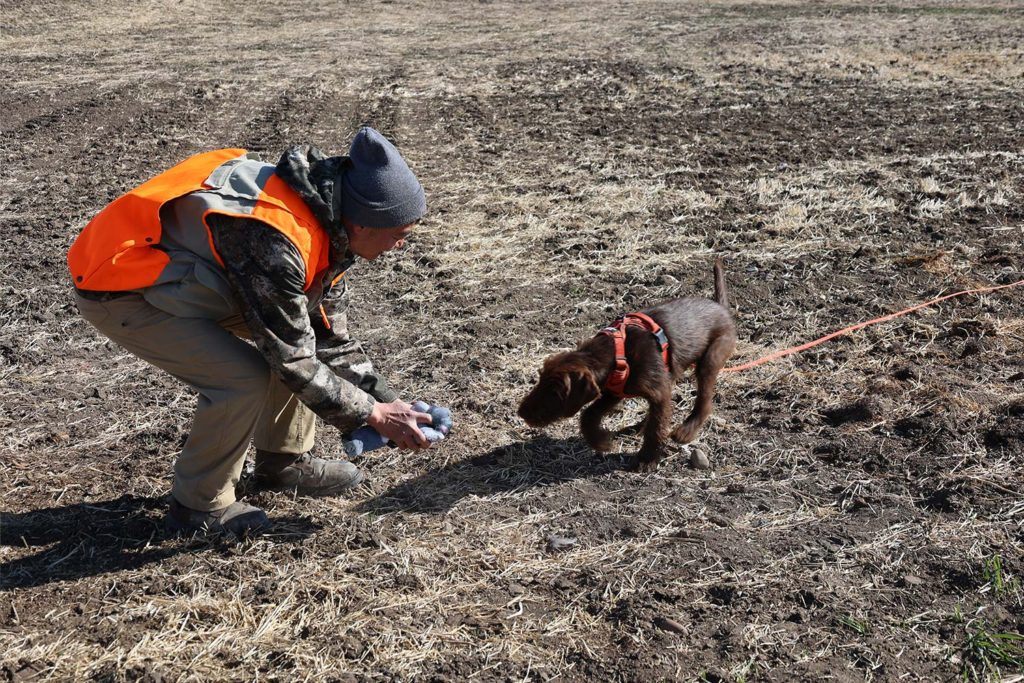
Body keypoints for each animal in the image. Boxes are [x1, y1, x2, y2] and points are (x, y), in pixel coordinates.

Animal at [520, 260, 737, 471]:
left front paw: (647, 459)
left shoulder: (656, 392)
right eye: (539, 380)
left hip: (712, 356)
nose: (521, 412)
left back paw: (686, 430)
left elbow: (656, 427)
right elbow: (588, 414)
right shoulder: (615, 390)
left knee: (704, 399)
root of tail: (721, 307)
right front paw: (601, 441)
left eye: (555, 392)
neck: (617, 353)